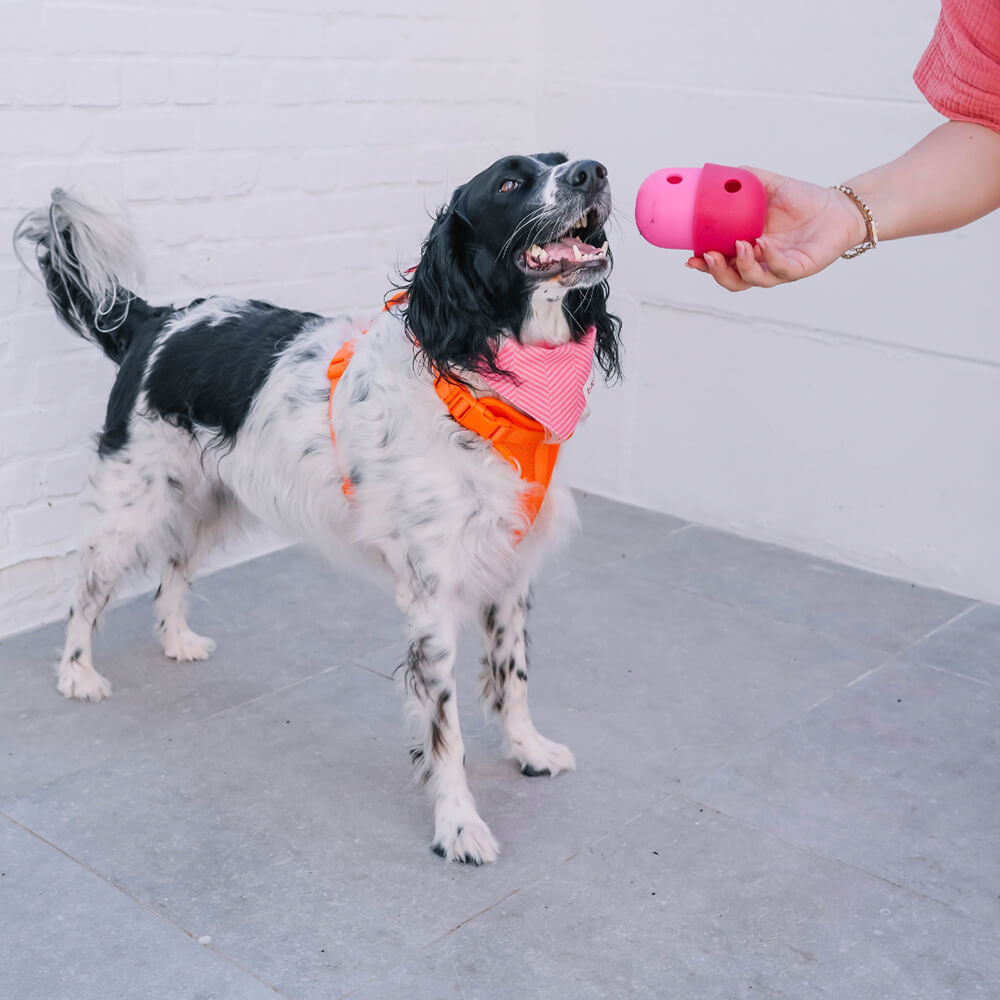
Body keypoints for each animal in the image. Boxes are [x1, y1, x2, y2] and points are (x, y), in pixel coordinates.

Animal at [15, 152, 620, 864]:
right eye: (509, 182)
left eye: (562, 158)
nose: (593, 171)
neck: (486, 387)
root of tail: (157, 320)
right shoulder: (434, 595)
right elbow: (445, 729)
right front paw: (458, 827)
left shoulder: (510, 571)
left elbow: (513, 678)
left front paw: (529, 752)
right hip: (132, 501)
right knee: (86, 590)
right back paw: (77, 674)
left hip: (213, 497)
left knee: (173, 571)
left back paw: (177, 640)